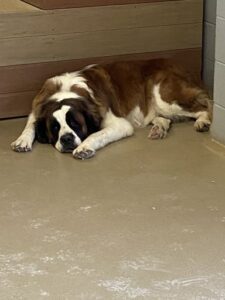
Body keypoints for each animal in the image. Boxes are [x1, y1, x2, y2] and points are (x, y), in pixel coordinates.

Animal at [11, 59, 213, 161]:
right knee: (164, 118)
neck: (66, 91)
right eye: (54, 127)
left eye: (75, 123)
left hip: (163, 95)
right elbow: (30, 125)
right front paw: (22, 140)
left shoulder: (119, 124)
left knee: (205, 105)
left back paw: (203, 122)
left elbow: (97, 134)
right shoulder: (37, 108)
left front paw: (84, 147)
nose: (66, 139)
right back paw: (159, 129)